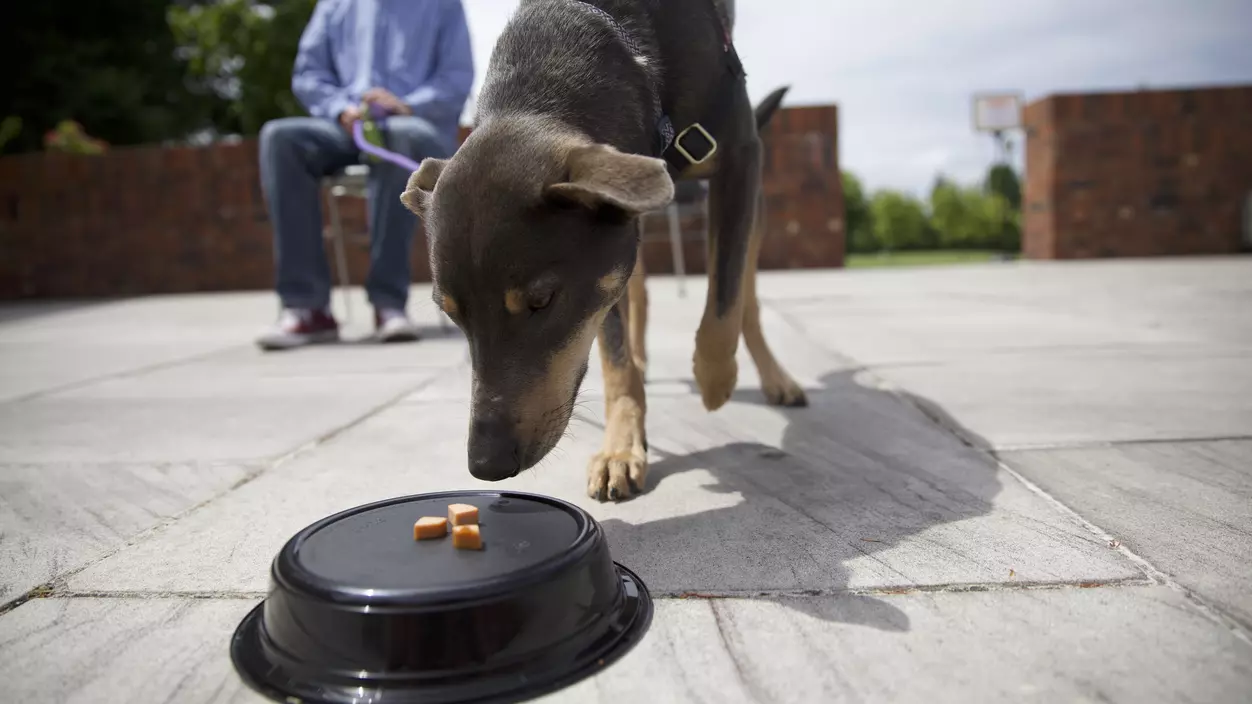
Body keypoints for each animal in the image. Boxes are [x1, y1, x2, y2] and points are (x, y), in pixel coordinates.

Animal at [405, 1, 806, 503]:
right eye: (452, 314)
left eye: (541, 300)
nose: (485, 464)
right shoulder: (605, 270)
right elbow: (615, 356)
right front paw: (621, 446)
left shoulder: (740, 157)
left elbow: (724, 300)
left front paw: (714, 380)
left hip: (751, 206)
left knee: (746, 297)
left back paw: (774, 379)